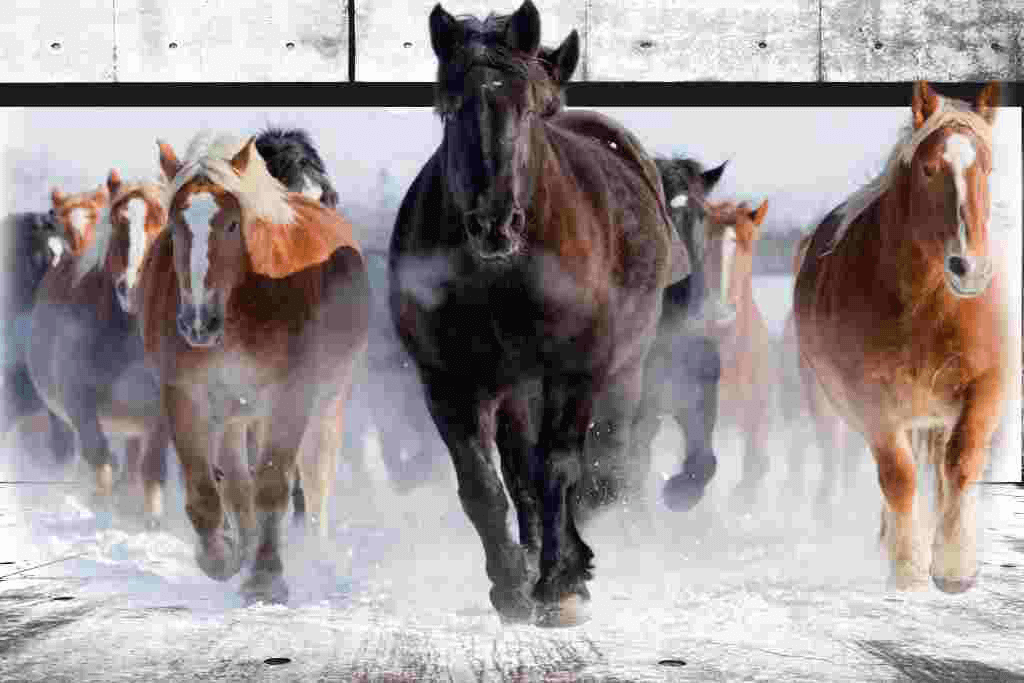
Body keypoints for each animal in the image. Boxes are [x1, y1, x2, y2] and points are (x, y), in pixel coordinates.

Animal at [25, 172, 171, 524]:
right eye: (118, 223)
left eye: (162, 222)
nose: (132, 288)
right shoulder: (79, 404)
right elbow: (100, 461)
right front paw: (102, 508)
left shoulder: (161, 412)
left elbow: (152, 468)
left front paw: (151, 519)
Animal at [139, 131, 369, 603]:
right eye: (174, 226)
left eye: (231, 224)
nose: (198, 322)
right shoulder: (184, 395)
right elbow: (207, 490)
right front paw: (222, 558)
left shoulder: (290, 397)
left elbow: (273, 487)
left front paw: (266, 579)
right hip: (234, 412)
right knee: (236, 481)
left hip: (326, 402)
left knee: (315, 480)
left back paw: (314, 556)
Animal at [390, 0, 677, 626]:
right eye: (450, 108)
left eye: (526, 109)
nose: (494, 223)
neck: (502, 276)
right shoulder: (451, 382)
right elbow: (483, 485)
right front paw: (511, 585)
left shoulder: (575, 371)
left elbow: (562, 469)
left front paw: (562, 582)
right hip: (515, 386)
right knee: (523, 469)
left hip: (622, 370)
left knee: (597, 469)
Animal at [793, 81, 1006, 593]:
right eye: (929, 168)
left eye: (987, 168)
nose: (969, 269)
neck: (925, 305)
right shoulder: (870, 398)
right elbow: (898, 476)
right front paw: (908, 567)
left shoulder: (986, 383)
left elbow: (961, 463)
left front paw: (954, 567)